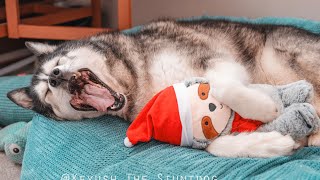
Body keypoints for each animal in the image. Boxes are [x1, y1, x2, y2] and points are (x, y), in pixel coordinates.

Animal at [7, 19, 320, 157]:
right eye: (47, 92)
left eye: (58, 63)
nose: (56, 77)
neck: (134, 77)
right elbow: (214, 146)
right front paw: (271, 142)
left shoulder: (218, 61)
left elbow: (222, 85)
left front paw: (266, 109)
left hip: (274, 57)